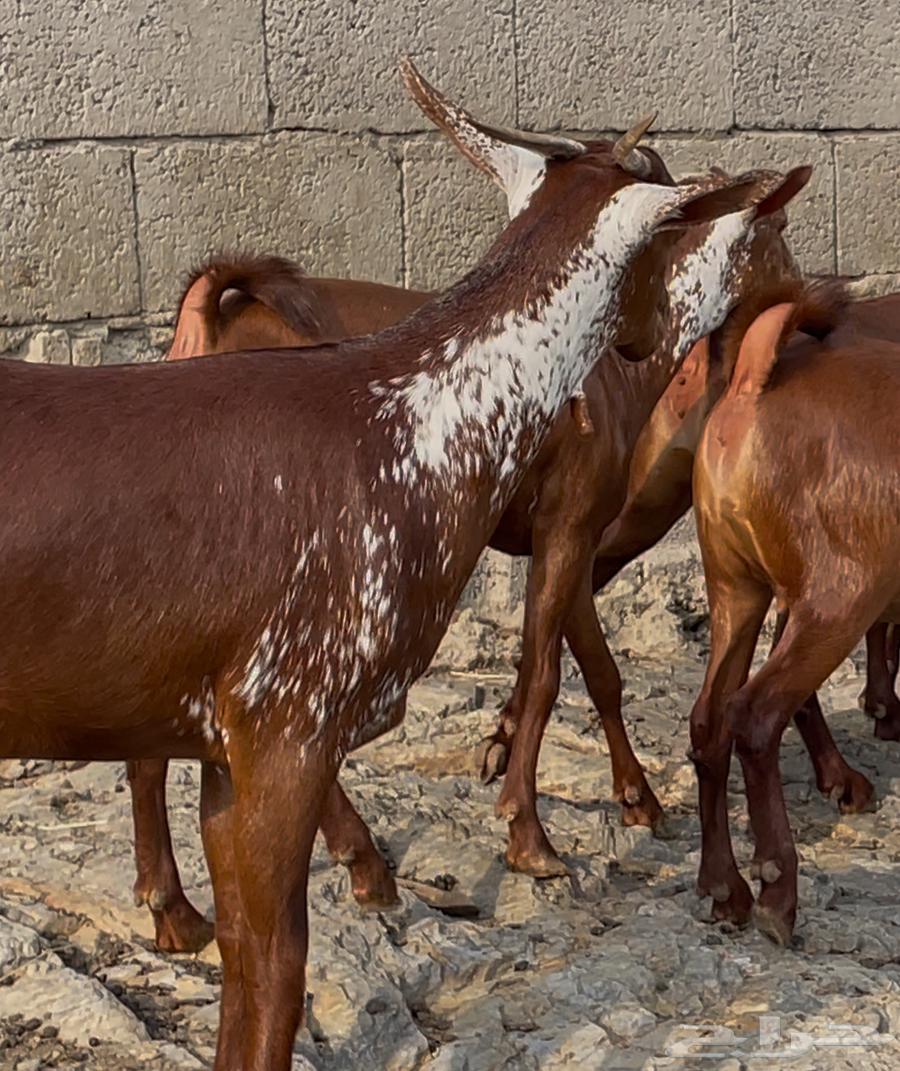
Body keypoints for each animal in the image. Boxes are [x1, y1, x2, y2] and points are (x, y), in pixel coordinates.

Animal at [0, 60, 770, 1071]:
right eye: (689, 222)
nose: (660, 342)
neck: (406, 428)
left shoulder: (226, 736)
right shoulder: (290, 715)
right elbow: (276, 979)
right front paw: (532, 835)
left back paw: (176, 911)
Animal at [688, 278, 900, 946]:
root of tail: (754, 378)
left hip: (736, 587)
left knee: (710, 720)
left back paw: (724, 888)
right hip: (839, 594)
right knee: (756, 715)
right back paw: (777, 893)